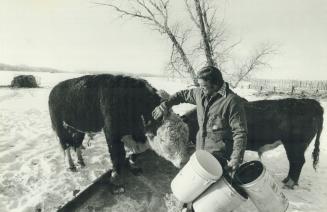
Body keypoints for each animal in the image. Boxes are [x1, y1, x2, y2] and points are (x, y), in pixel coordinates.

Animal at [49, 74, 187, 192]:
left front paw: (133, 165)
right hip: (61, 128)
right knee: (66, 146)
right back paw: (71, 165)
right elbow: (117, 156)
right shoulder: (112, 134)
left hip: (79, 129)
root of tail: (55, 89)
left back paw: (81, 161)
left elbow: (135, 152)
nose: (183, 161)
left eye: (185, 136)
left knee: (77, 143)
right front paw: (116, 181)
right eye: (163, 139)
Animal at [183, 98, 324, 188]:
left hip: (294, 145)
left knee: (297, 162)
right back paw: (287, 180)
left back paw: (290, 183)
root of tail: (311, 103)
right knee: (295, 162)